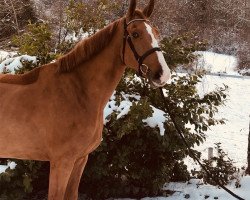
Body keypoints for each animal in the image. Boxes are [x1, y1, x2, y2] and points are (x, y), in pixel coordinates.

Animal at [0, 0, 170, 199]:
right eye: (135, 34)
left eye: (156, 33)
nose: (162, 74)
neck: (77, 92)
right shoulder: (62, 162)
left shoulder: (80, 159)